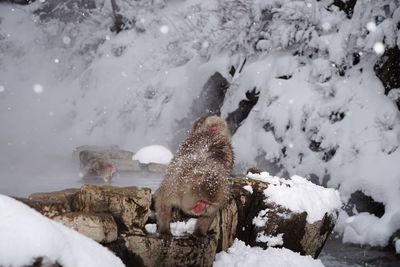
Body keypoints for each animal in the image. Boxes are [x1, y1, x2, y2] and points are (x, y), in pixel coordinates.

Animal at [154, 115, 234, 245]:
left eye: (207, 203)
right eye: (201, 201)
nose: (201, 209)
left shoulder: (222, 196)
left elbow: (210, 214)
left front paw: (200, 233)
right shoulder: (174, 185)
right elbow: (162, 200)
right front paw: (165, 231)